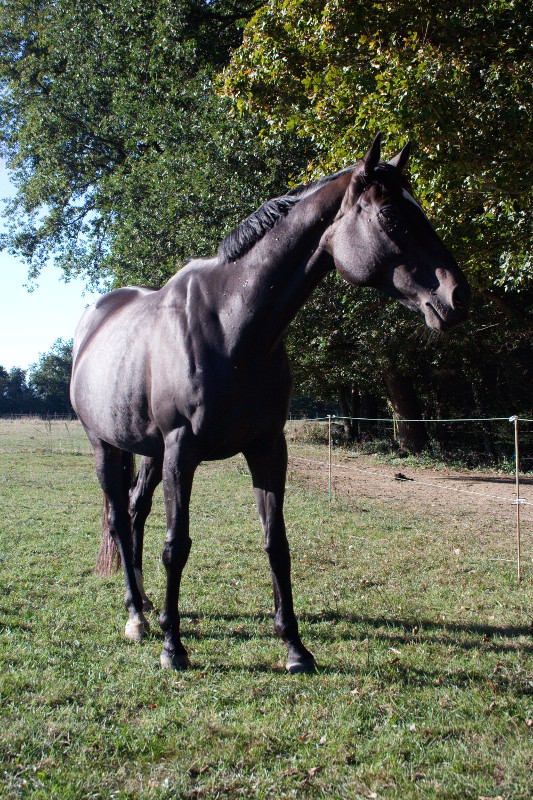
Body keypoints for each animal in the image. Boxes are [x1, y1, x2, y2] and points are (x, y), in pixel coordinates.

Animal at [69, 134, 470, 672]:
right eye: (391, 216)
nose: (457, 295)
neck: (232, 324)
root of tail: (93, 321)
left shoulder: (266, 447)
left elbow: (276, 542)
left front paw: (295, 647)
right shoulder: (182, 451)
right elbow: (177, 545)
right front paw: (174, 648)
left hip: (149, 453)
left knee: (135, 513)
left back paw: (147, 606)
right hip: (105, 447)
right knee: (117, 518)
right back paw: (137, 616)